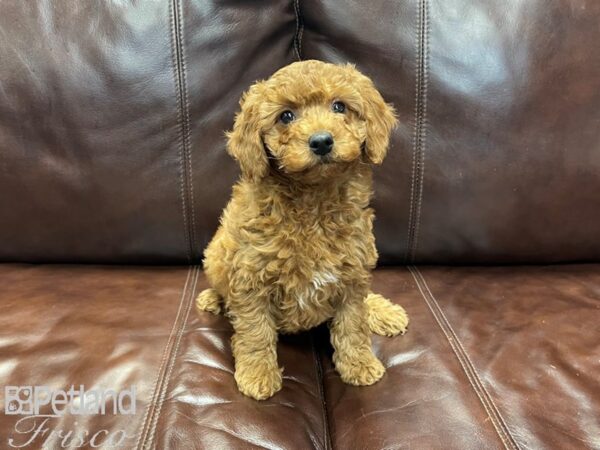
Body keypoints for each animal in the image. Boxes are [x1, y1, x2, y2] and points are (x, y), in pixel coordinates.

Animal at [197, 59, 408, 400]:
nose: (321, 141)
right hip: (217, 253)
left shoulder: (353, 274)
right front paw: (257, 375)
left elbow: (353, 323)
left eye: (339, 106)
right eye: (286, 116)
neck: (314, 200)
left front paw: (359, 364)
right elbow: (255, 332)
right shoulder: (250, 278)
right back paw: (213, 300)